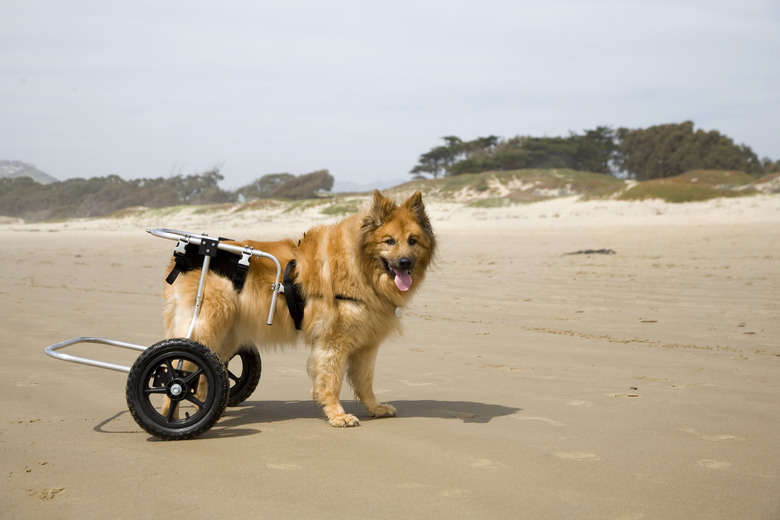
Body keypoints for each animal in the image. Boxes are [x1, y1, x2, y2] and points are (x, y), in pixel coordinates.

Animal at [162, 191, 436, 426]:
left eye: (412, 241)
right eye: (389, 241)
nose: (405, 262)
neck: (360, 267)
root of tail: (183, 257)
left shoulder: (366, 346)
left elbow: (365, 382)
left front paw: (375, 408)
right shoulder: (332, 343)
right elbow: (331, 382)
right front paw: (337, 415)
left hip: (226, 335)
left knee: (205, 377)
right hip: (205, 329)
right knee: (176, 368)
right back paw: (170, 416)